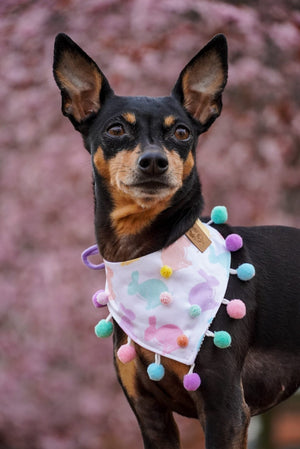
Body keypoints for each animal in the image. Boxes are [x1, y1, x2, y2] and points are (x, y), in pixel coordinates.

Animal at [53, 33, 300, 446]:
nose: (154, 161)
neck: (150, 252)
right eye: (115, 130)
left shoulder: (225, 409)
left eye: (182, 132)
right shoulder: (150, 413)